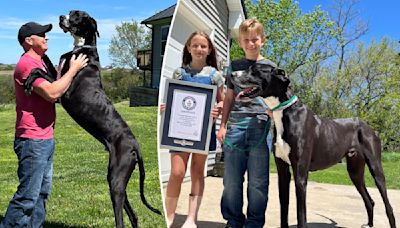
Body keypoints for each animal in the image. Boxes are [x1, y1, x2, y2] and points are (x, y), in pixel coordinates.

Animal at [233, 62, 396, 228]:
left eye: (255, 70)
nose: (232, 74)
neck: (286, 112)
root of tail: (369, 127)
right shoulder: (283, 172)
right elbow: (283, 209)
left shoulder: (300, 174)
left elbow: (301, 215)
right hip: (355, 171)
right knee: (369, 200)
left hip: (376, 168)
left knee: (388, 205)